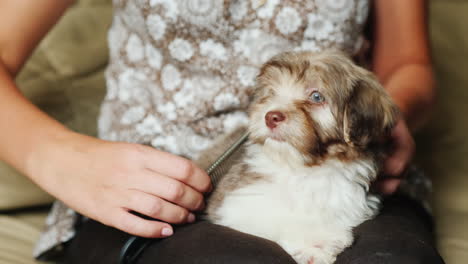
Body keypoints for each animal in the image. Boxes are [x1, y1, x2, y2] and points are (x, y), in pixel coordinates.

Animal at [205, 50, 398, 264]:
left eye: (316, 96)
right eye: (271, 92)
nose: (271, 116)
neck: (303, 167)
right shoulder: (234, 201)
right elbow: (276, 215)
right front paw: (315, 242)